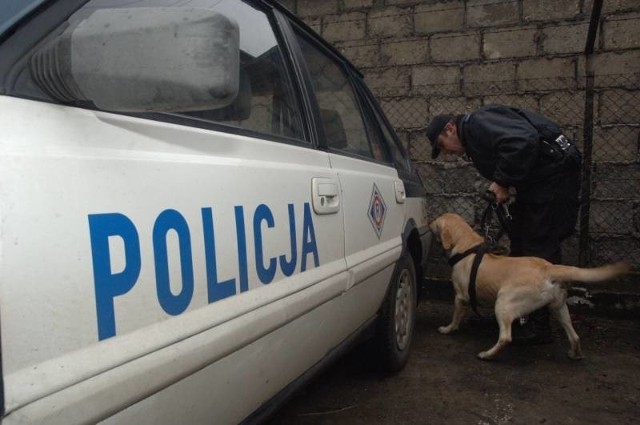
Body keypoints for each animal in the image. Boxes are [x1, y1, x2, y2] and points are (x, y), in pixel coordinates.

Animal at [430, 214, 632, 360]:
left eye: (435, 222)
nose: (429, 221)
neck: (467, 244)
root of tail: (548, 268)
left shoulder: (460, 297)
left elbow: (456, 316)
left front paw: (448, 329)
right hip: (559, 307)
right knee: (574, 336)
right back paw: (575, 354)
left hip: (503, 302)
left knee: (505, 337)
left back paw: (487, 354)